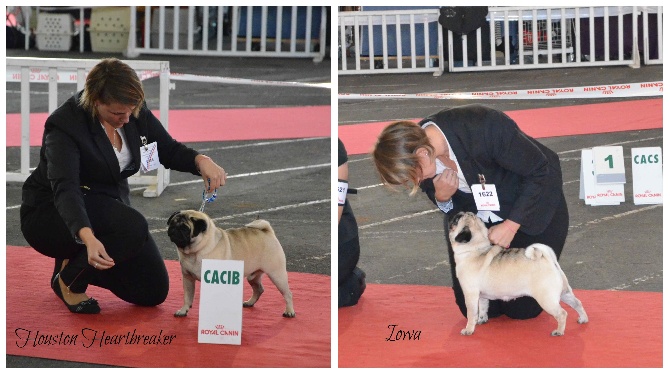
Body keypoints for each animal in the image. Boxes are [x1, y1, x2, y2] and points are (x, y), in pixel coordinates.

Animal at [168, 210, 296, 318]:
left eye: (185, 228)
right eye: (171, 223)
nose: (173, 229)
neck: (194, 252)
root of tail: (267, 232)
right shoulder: (188, 278)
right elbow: (187, 297)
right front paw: (183, 310)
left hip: (277, 275)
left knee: (288, 293)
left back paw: (289, 311)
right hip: (253, 276)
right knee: (259, 289)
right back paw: (250, 302)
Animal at [452, 212, 588, 338]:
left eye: (456, 220)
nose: (458, 213)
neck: (476, 249)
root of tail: (548, 259)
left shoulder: (470, 295)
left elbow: (471, 313)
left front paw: (469, 329)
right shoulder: (481, 296)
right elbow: (483, 308)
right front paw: (481, 320)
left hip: (547, 299)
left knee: (562, 313)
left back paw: (559, 331)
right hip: (564, 293)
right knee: (577, 303)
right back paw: (583, 319)